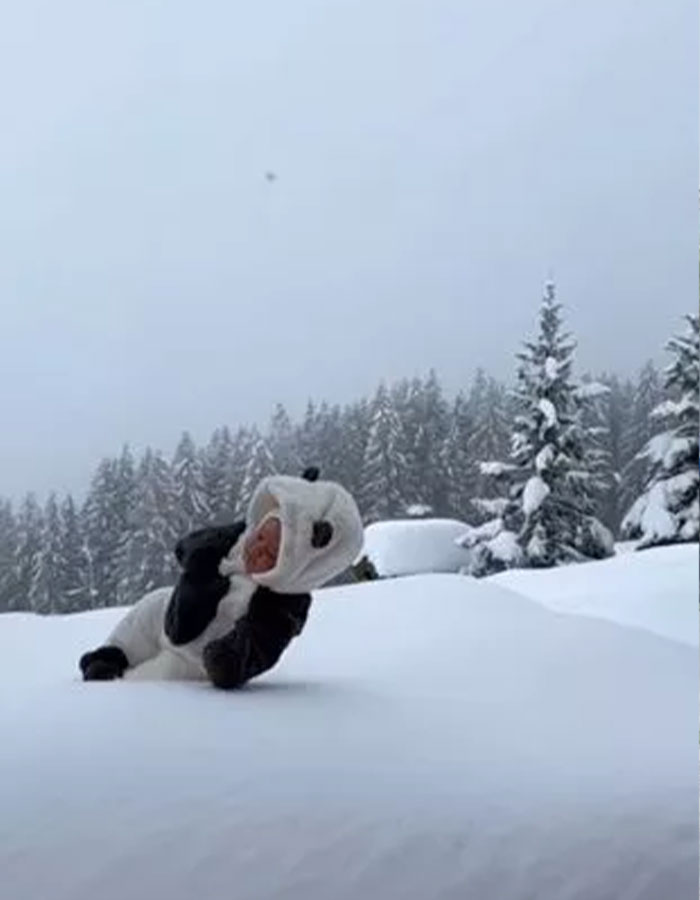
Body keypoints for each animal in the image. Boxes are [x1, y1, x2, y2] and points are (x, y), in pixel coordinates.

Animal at [79, 468, 364, 689]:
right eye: (261, 536)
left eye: (272, 551)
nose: (254, 550)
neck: (243, 569)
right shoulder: (227, 538)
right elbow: (193, 551)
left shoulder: (288, 599)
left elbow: (261, 637)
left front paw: (222, 657)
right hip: (147, 615)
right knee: (131, 636)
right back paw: (98, 663)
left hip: (175, 666)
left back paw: (104, 669)